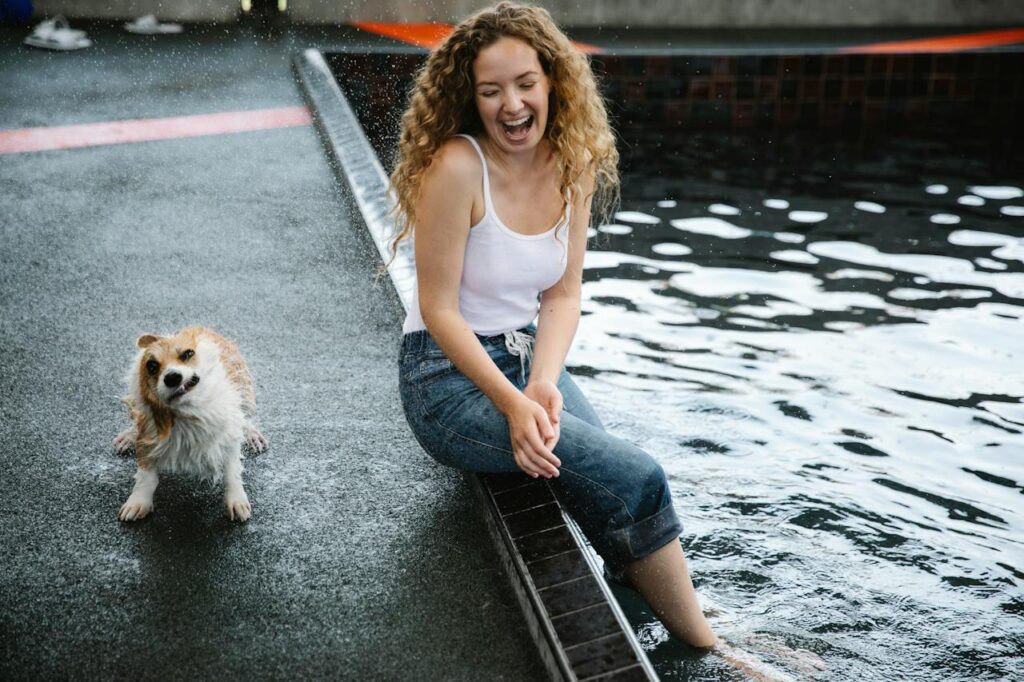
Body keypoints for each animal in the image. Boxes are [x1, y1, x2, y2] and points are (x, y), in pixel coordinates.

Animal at [113, 323, 266, 520]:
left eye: (187, 354)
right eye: (152, 366)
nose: (172, 377)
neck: (187, 413)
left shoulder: (229, 433)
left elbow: (232, 471)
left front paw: (236, 500)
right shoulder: (147, 432)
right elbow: (146, 476)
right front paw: (138, 502)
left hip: (245, 391)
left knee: (247, 418)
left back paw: (252, 434)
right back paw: (127, 437)